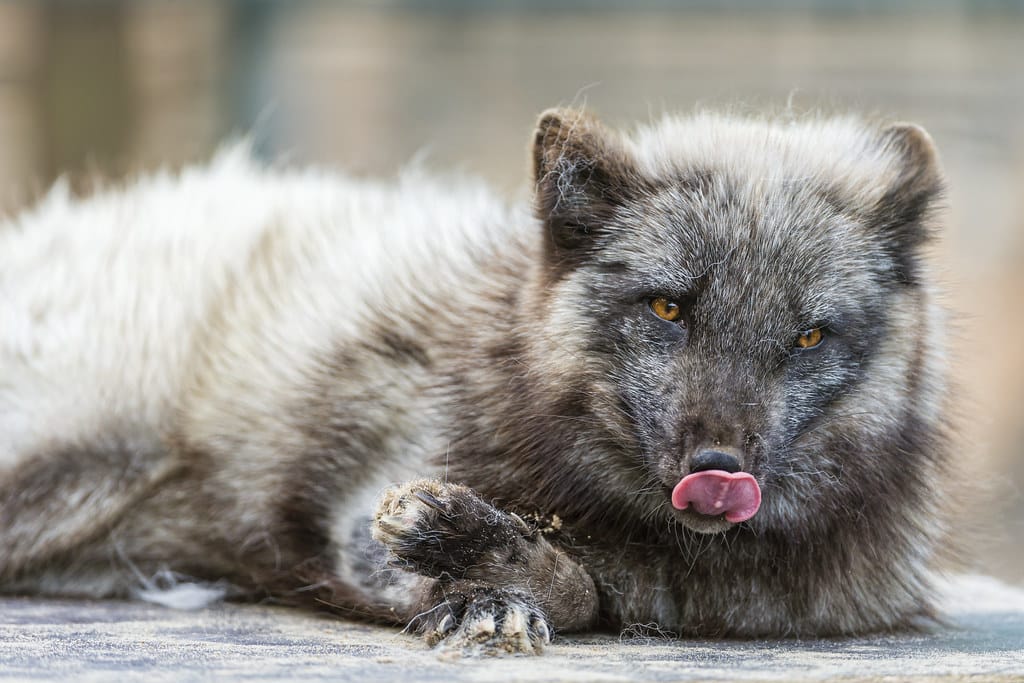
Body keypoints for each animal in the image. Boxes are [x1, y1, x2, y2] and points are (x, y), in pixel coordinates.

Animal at [0, 107, 953, 655]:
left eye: (808, 334)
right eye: (668, 307)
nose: (719, 469)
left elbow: (594, 590)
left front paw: (500, 567)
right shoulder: (363, 507)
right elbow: (573, 588)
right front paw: (487, 568)